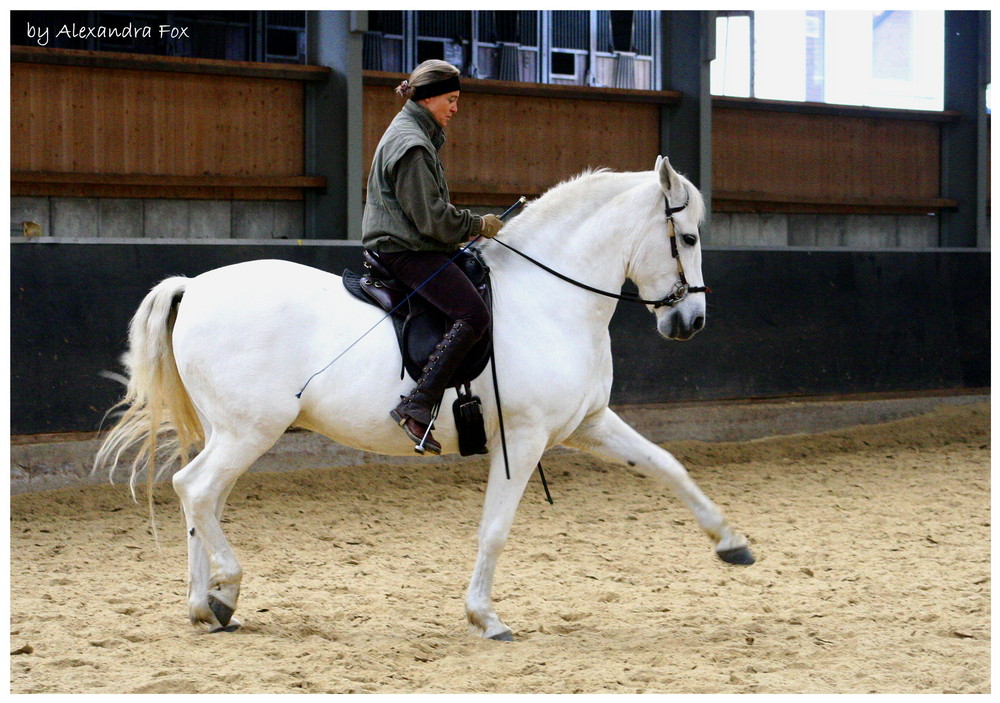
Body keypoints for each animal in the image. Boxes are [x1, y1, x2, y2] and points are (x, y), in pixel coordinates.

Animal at [95, 157, 752, 640]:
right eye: (687, 237)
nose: (691, 321)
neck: (550, 296)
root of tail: (195, 286)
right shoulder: (526, 437)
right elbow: (495, 528)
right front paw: (485, 618)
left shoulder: (588, 423)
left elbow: (667, 465)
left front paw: (731, 543)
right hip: (250, 430)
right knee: (195, 489)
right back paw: (222, 589)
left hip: (231, 432)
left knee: (201, 501)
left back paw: (209, 604)